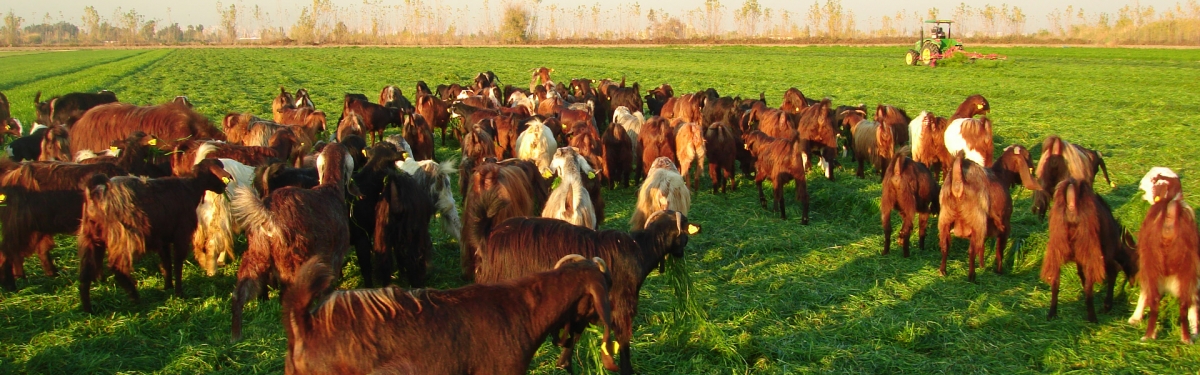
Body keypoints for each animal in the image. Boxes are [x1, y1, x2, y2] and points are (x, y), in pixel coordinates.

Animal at [78, 159, 234, 312]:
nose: (224, 186)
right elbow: (177, 263)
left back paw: (88, 309)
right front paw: (179, 292)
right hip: (124, 237)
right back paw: (135, 298)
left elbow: (166, 263)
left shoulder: (162, 238)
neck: (191, 187)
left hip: (91, 236)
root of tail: (96, 193)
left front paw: (168, 287)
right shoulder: (181, 235)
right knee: (118, 269)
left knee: (85, 273)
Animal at [477, 212, 700, 372]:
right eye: (685, 232)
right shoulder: (622, 308)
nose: (682, 253)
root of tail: (489, 238)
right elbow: (624, 345)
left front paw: (564, 364)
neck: (641, 250)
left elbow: (572, 344)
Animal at [1128, 169, 1195, 343]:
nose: (1140, 184)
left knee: (1154, 298)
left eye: (1154, 178)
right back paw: (1189, 337)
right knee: (1187, 302)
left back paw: (1147, 335)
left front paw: (1135, 318)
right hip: (1189, 271)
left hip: (1152, 265)